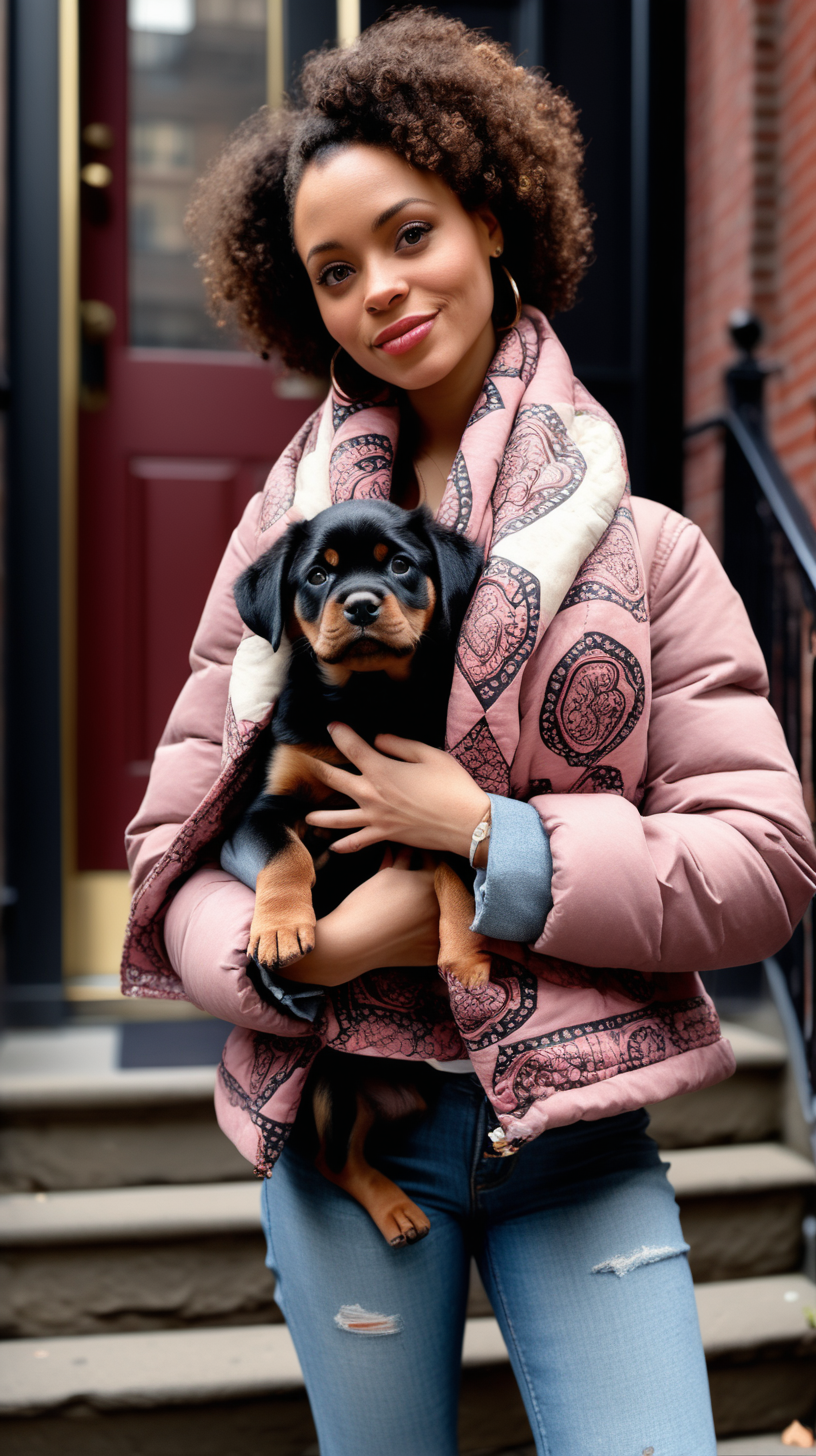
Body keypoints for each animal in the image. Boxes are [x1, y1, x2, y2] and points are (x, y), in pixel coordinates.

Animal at [233, 497, 495, 1240]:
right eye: (318, 575)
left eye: (400, 565)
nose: (358, 604)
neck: (367, 699)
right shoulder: (265, 805)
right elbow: (288, 854)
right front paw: (280, 930)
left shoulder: (432, 798)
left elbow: (453, 870)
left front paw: (466, 956)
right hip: (331, 1083)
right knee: (332, 1158)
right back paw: (397, 1209)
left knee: (342, 1156)